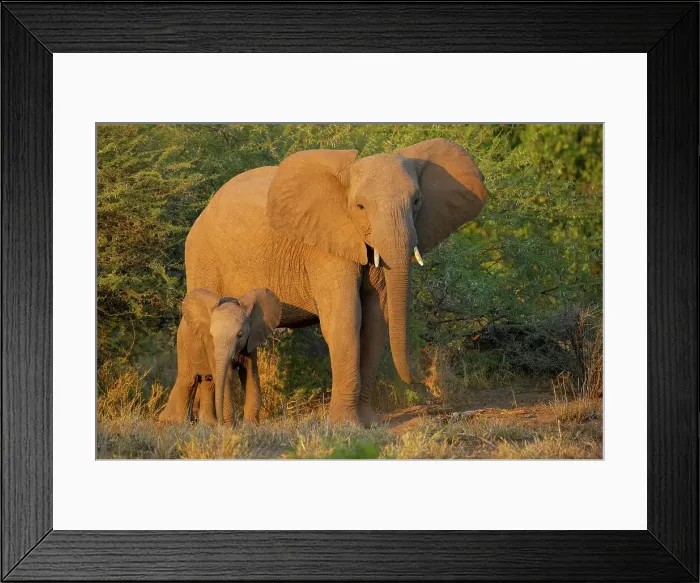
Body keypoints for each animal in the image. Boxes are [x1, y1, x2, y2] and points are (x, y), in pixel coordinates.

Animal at [158, 288, 281, 425]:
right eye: (211, 335)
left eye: (240, 335)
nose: (221, 422)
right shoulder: (211, 346)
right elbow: (227, 377)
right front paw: (229, 427)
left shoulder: (250, 342)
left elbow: (250, 374)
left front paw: (251, 426)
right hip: (183, 343)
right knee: (188, 379)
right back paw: (174, 422)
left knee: (208, 382)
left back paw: (208, 424)